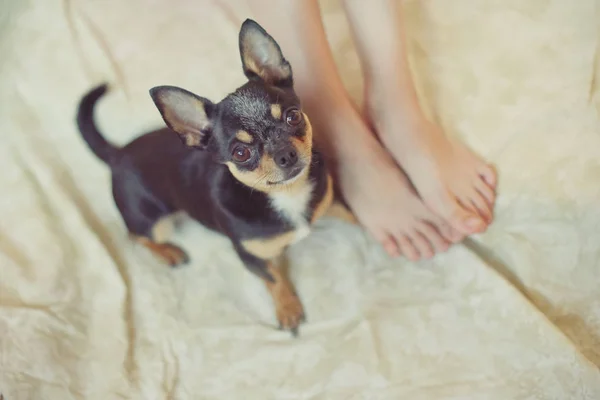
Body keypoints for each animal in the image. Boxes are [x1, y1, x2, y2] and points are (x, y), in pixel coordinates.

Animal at [77, 19, 354, 338]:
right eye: (240, 152)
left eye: (293, 116)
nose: (285, 154)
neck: (285, 195)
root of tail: (118, 153)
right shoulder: (252, 257)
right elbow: (274, 279)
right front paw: (288, 309)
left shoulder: (331, 203)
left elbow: (352, 216)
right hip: (155, 222)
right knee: (135, 235)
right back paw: (169, 253)